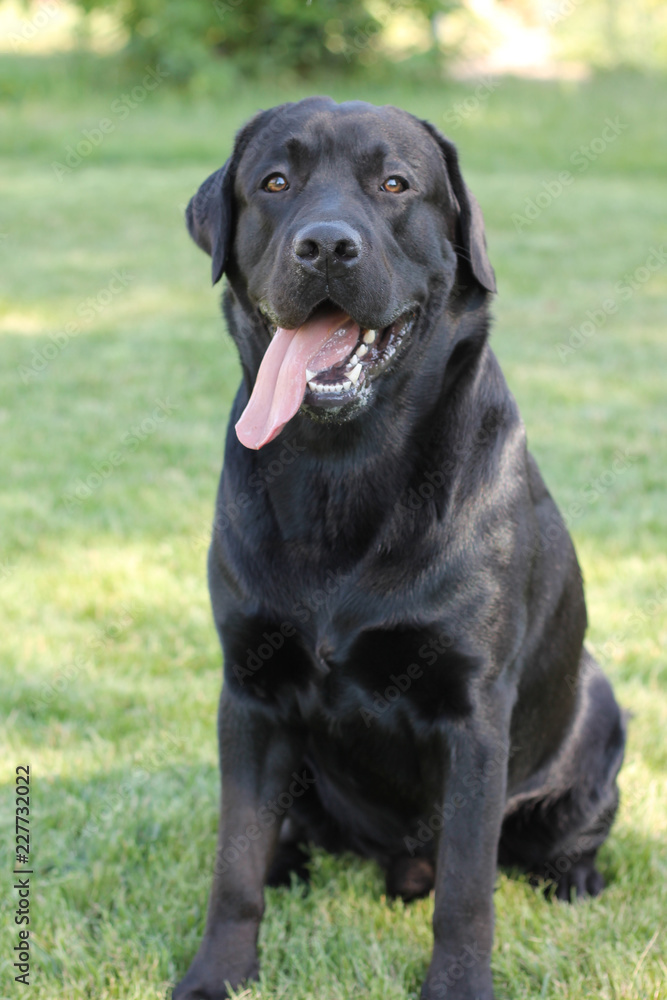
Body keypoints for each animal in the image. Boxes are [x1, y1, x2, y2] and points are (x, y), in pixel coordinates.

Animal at [174, 95, 628, 1000]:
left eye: (394, 185)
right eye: (274, 182)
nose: (325, 245)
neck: (343, 469)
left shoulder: (473, 713)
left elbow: (466, 889)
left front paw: (456, 987)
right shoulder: (248, 691)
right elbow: (233, 864)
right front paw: (217, 975)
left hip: (598, 709)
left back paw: (573, 882)